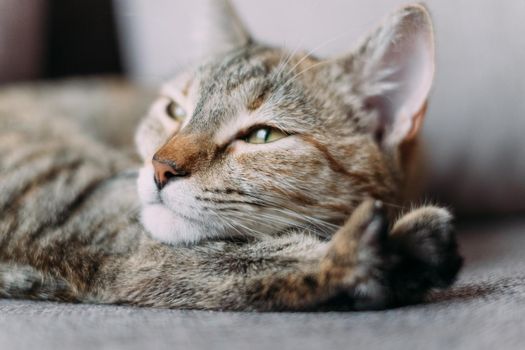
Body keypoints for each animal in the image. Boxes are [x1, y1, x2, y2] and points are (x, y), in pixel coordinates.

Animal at [0, 2, 458, 308]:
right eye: (175, 110)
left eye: (262, 135)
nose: (160, 167)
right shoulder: (69, 217)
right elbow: (224, 263)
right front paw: (367, 255)